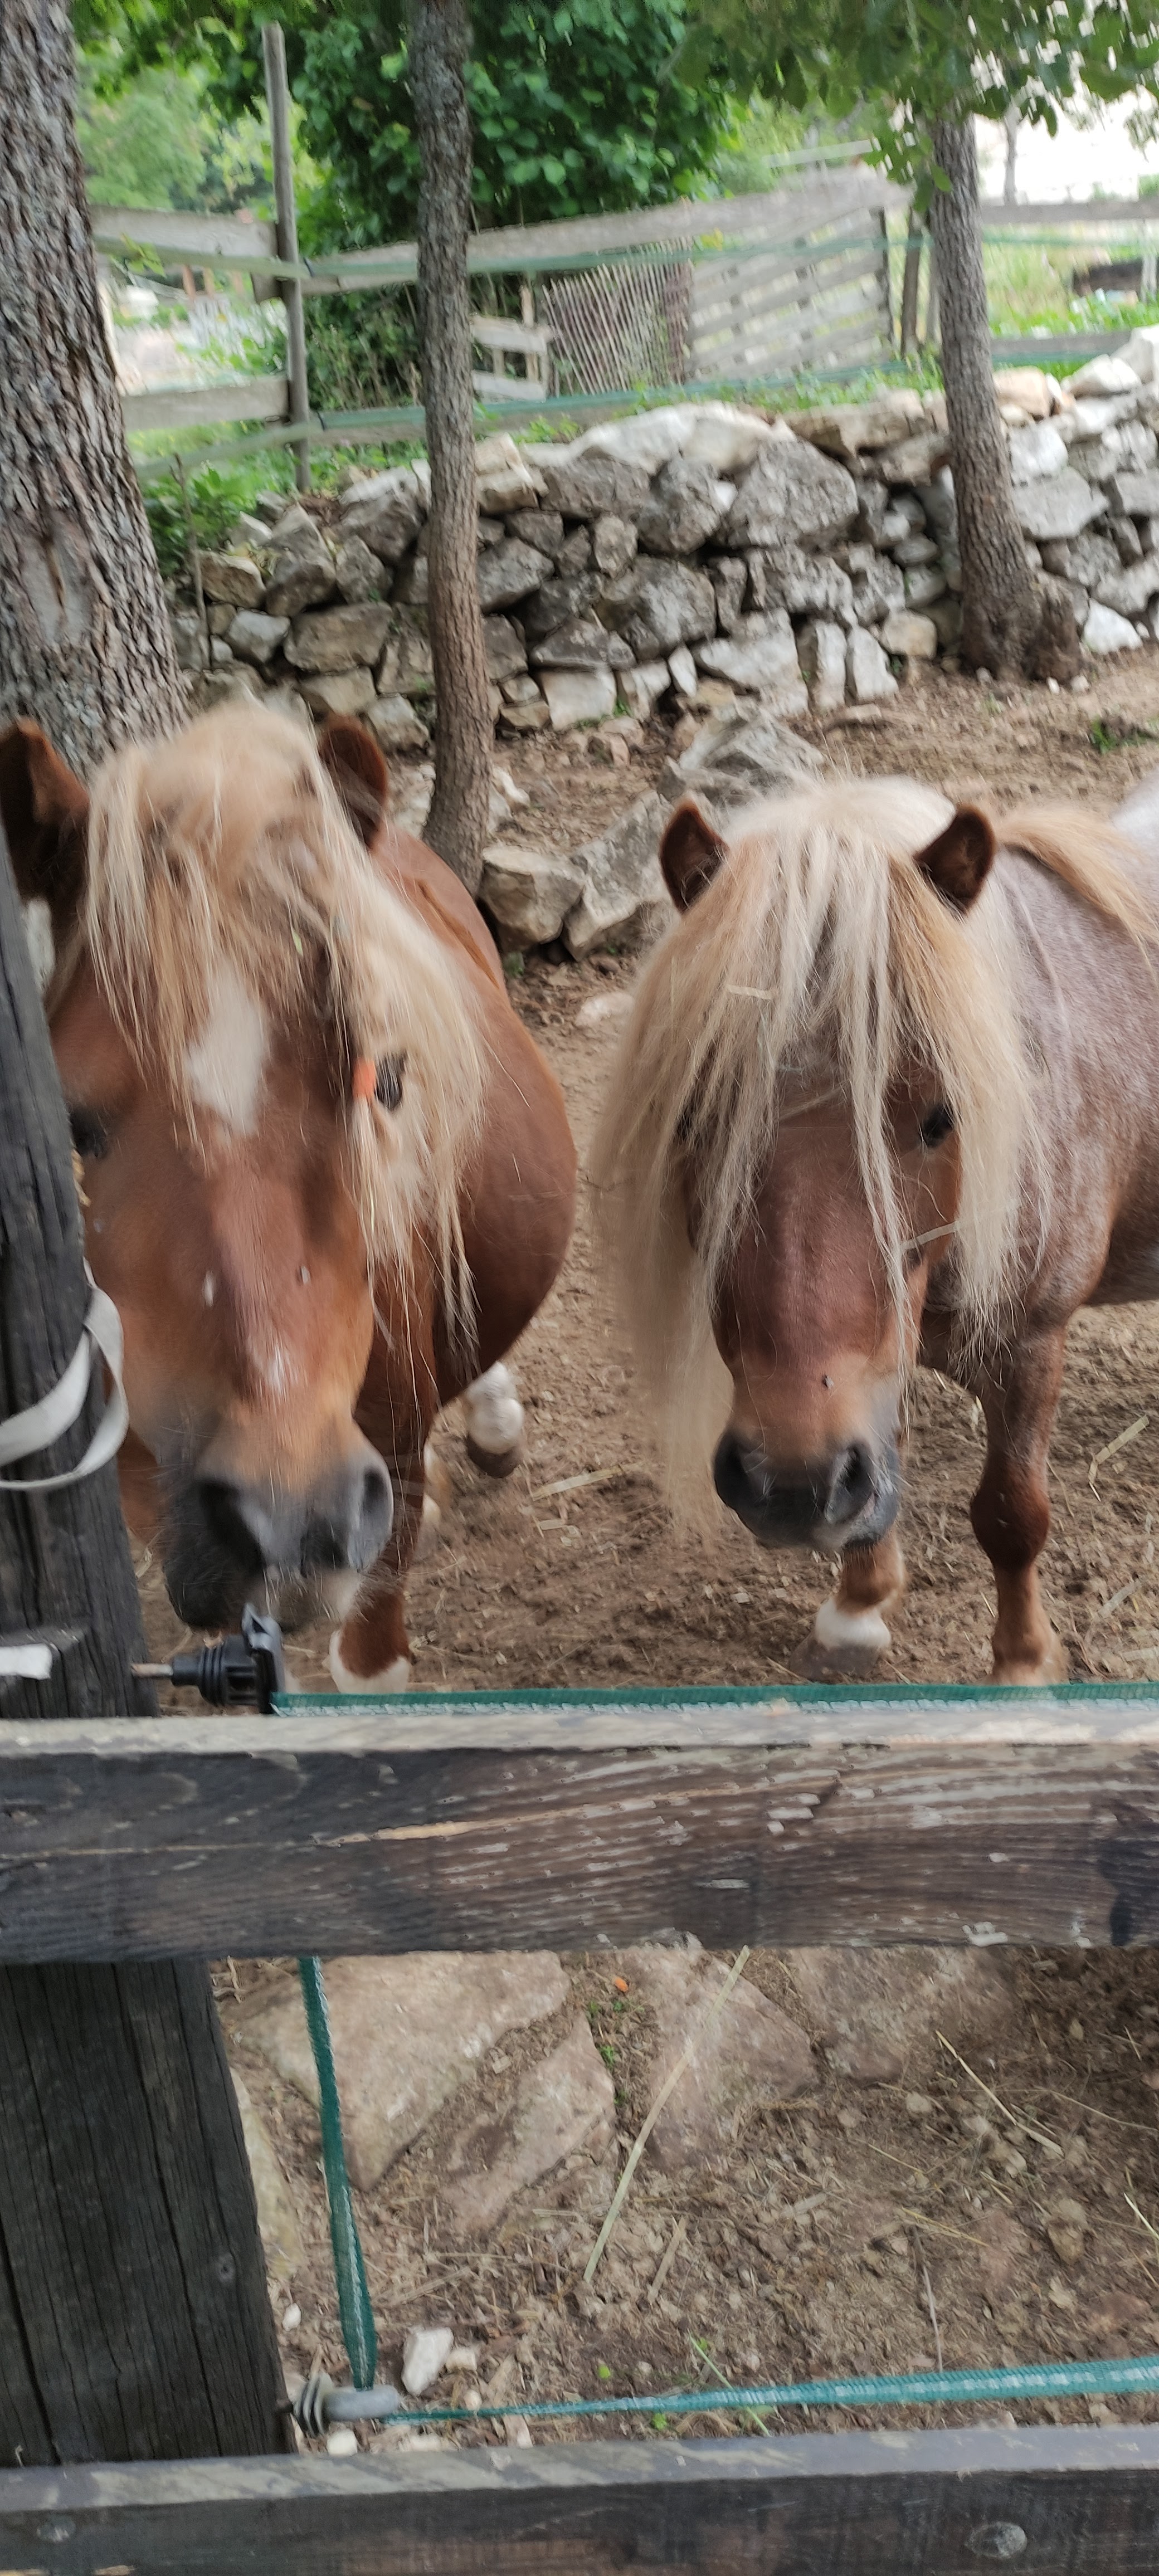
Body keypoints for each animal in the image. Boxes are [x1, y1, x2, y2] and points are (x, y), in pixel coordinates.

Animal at [592, 771, 1159, 1685]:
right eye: (693, 1118)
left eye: (940, 1117)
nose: (787, 1484)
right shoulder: (867, 1371)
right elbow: (878, 1474)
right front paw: (857, 1611)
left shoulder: (1031, 1343)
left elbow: (1012, 1515)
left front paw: (1023, 1663)